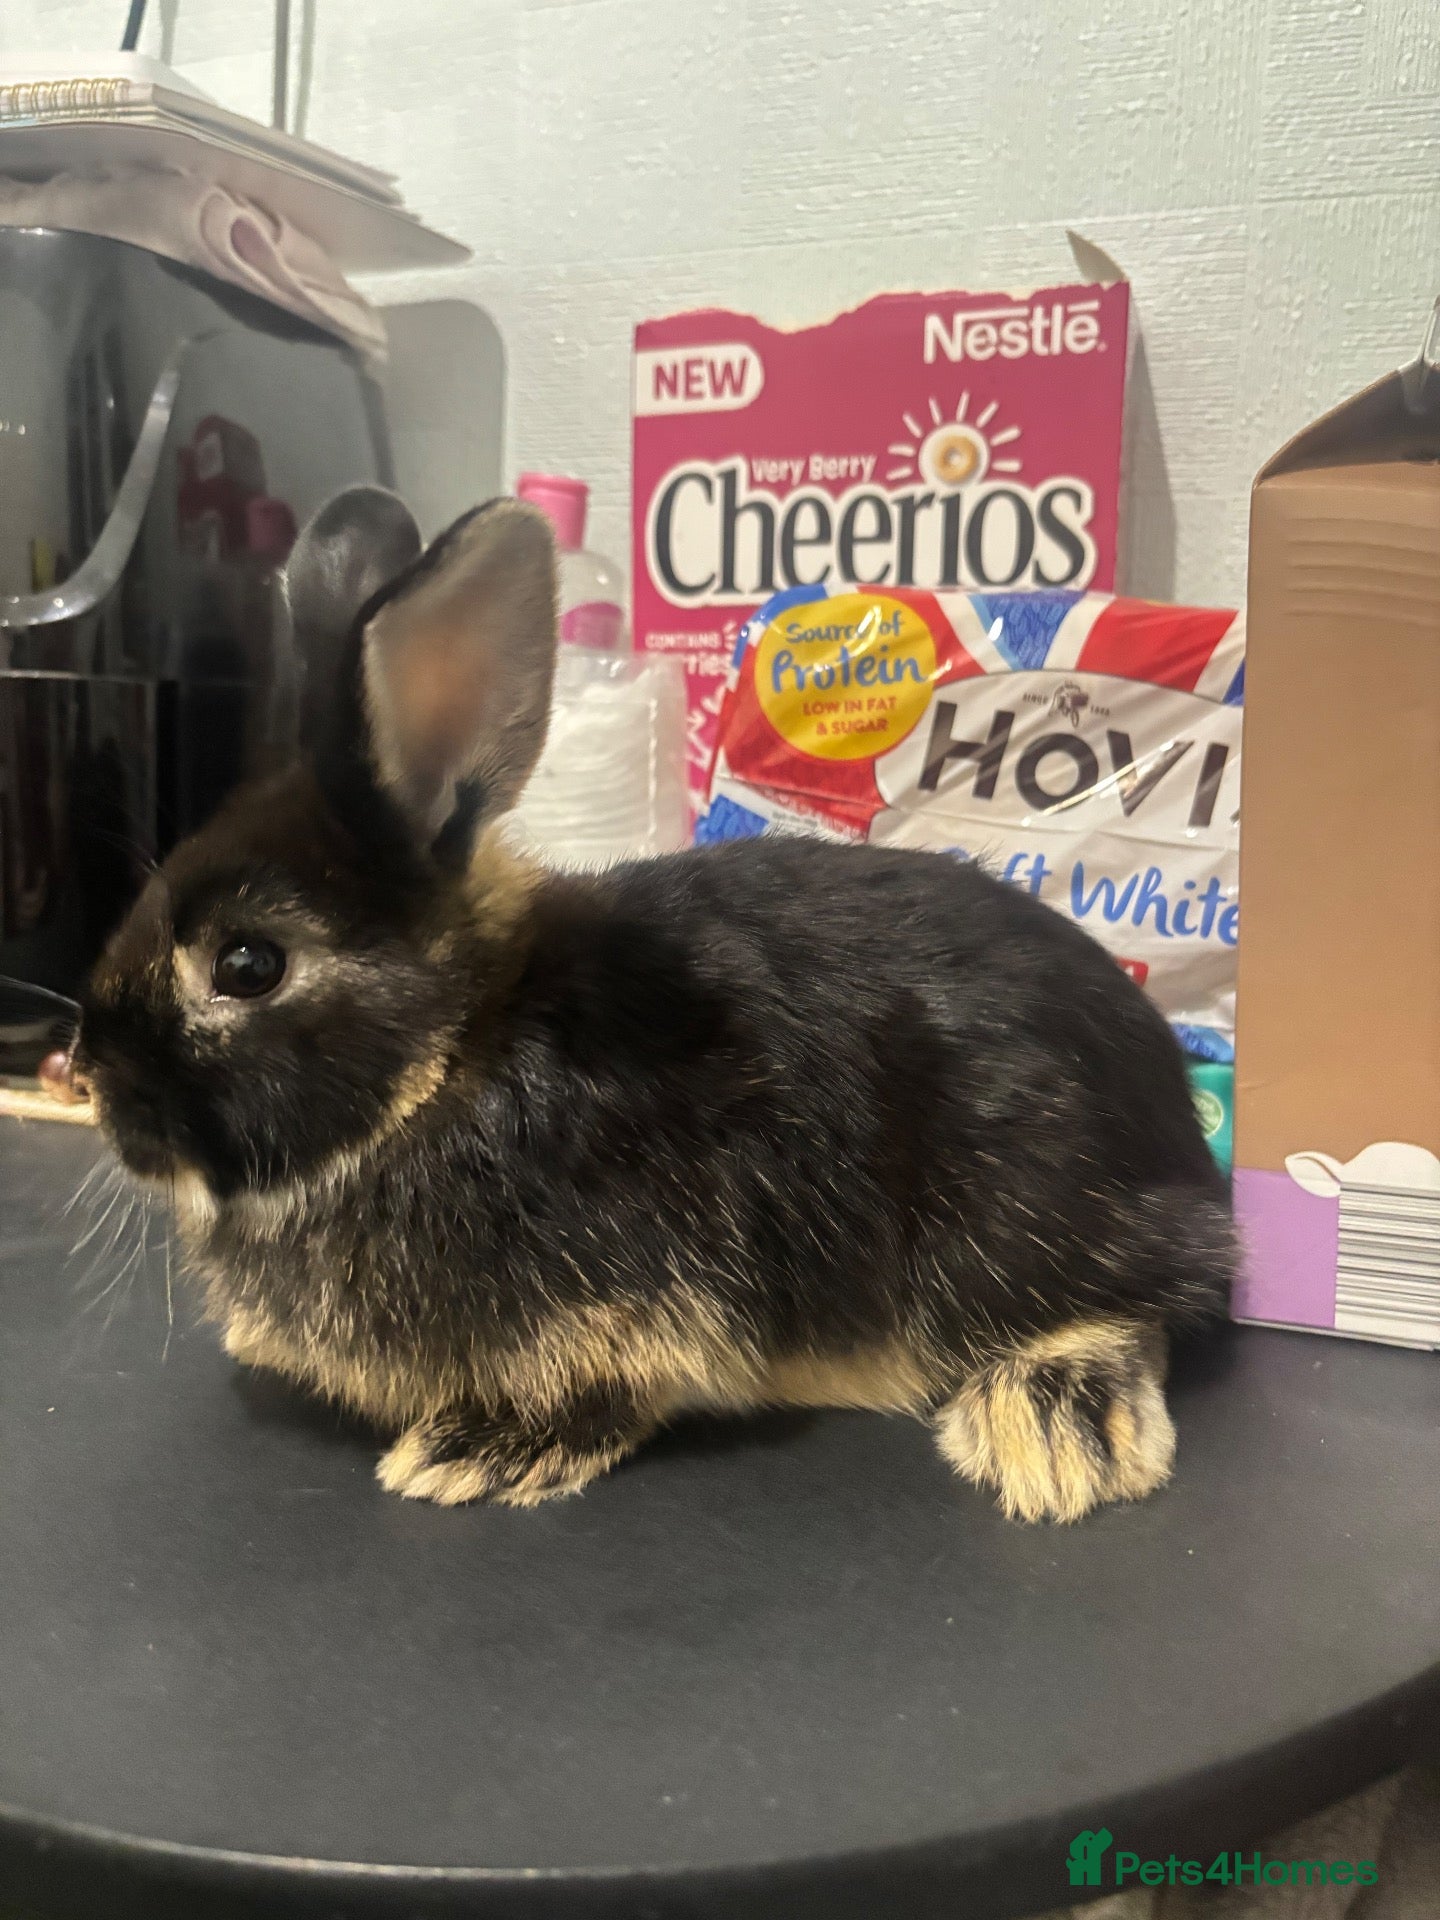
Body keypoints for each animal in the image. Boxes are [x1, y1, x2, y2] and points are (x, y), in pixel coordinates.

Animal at [73, 487, 1234, 1520]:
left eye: (248, 965)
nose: (90, 1080)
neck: (455, 1054)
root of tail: (1181, 1137)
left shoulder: (646, 1296)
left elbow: (611, 1385)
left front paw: (477, 1452)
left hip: (1018, 1206)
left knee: (1132, 1310)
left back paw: (1051, 1426)